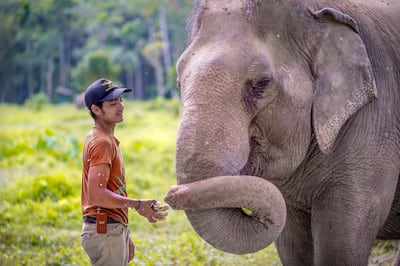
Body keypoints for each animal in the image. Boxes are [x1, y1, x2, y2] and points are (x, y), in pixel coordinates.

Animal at [163, 0, 400, 264]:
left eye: (262, 83)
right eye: (179, 82)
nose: (168, 197)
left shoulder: (376, 124)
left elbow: (339, 247)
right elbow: (292, 246)